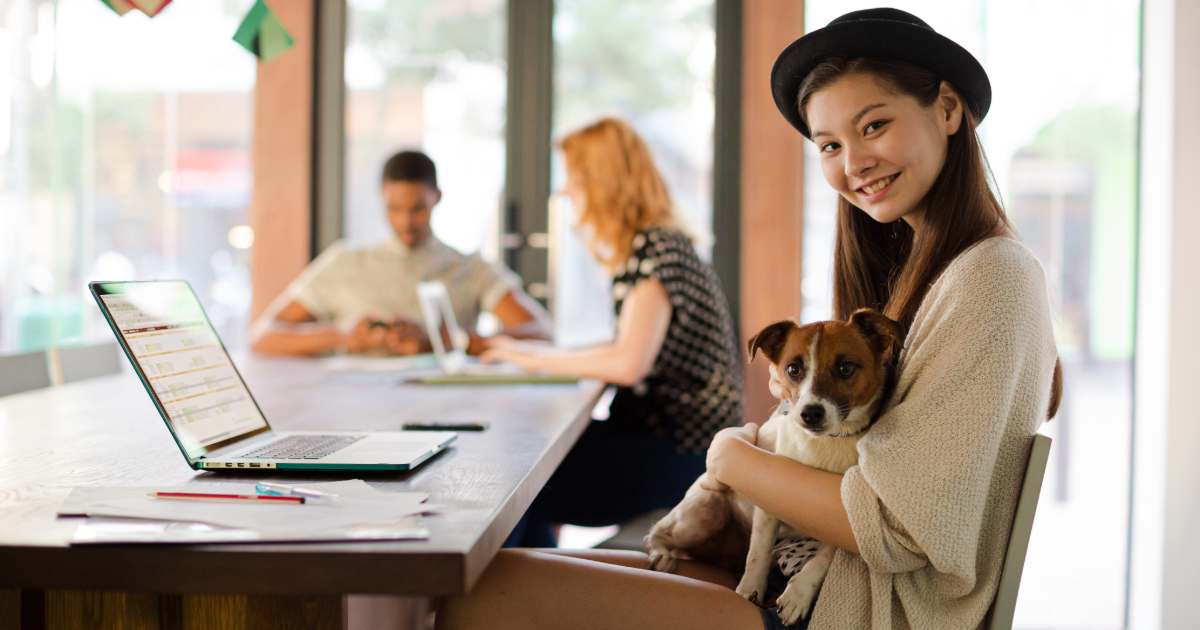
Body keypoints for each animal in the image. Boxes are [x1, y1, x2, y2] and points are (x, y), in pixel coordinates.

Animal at [648, 307, 902, 619]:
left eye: (846, 368)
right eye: (793, 370)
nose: (809, 414)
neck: (828, 442)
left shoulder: (847, 513)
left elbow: (823, 559)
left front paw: (799, 593)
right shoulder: (766, 501)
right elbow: (758, 552)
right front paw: (749, 590)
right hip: (703, 513)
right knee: (655, 532)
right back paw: (660, 554)